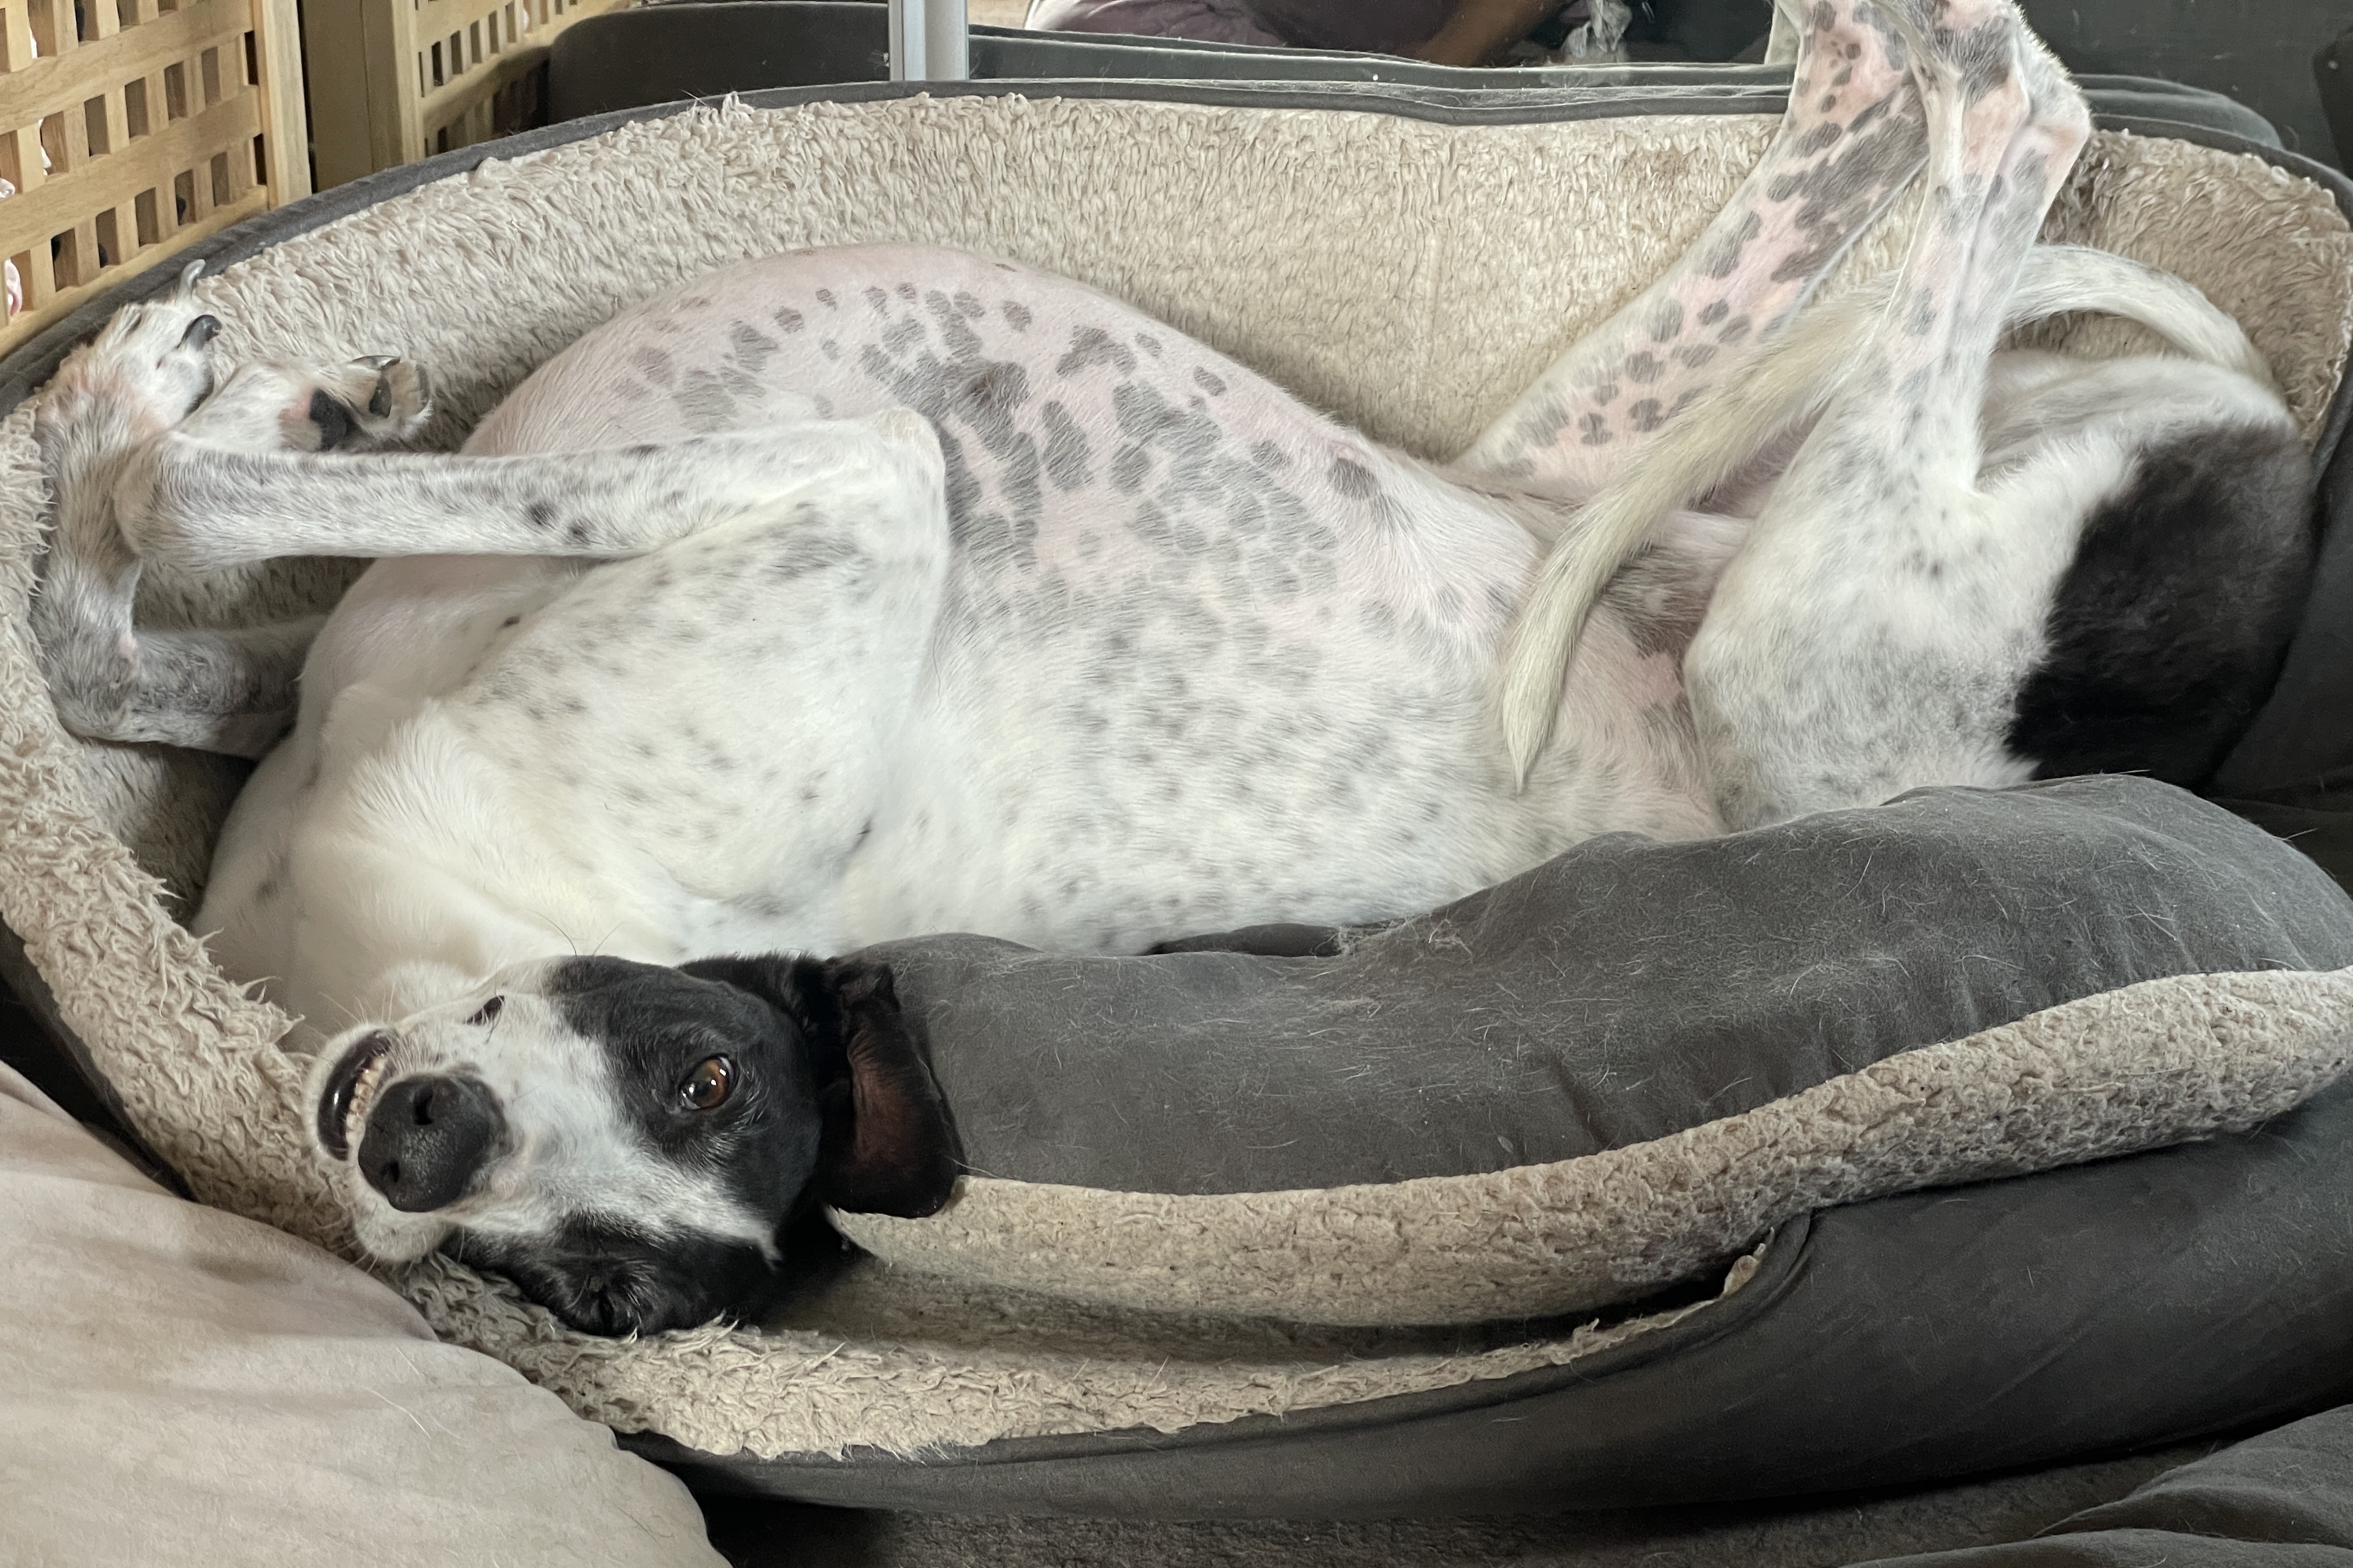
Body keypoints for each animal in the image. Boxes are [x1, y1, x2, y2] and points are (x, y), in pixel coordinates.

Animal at [37, 0, 2315, 1328]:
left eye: (700, 1098)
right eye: (584, 1285)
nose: (418, 1143)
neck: (446, 925)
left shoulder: (855, 487)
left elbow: (159, 528)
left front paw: (137, 410)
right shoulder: (318, 697)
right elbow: (122, 664)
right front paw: (259, 409)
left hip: (1807, 636)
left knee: (2032, 106)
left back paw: (1961, 49)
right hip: (1607, 465)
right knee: (1858, 197)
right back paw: (1854, 44)